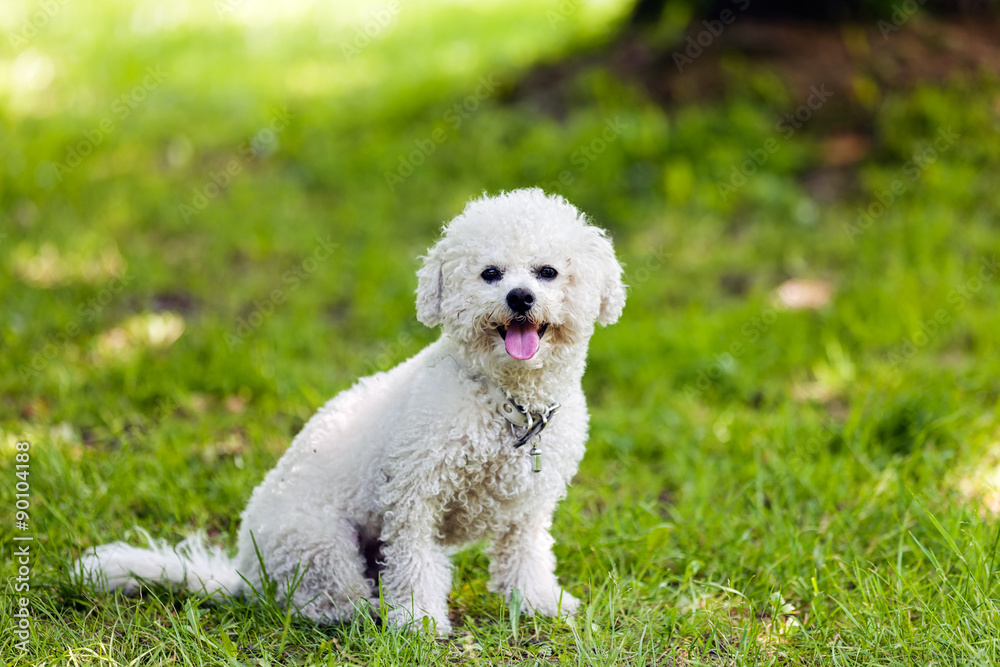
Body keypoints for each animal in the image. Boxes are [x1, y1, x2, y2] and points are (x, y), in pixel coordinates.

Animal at [78, 189, 620, 636]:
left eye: (547, 272)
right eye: (490, 274)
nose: (519, 296)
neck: (509, 401)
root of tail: (243, 572)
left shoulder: (528, 508)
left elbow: (525, 558)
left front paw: (538, 603)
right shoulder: (413, 498)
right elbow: (415, 566)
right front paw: (419, 623)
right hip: (319, 541)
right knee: (321, 603)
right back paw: (366, 613)